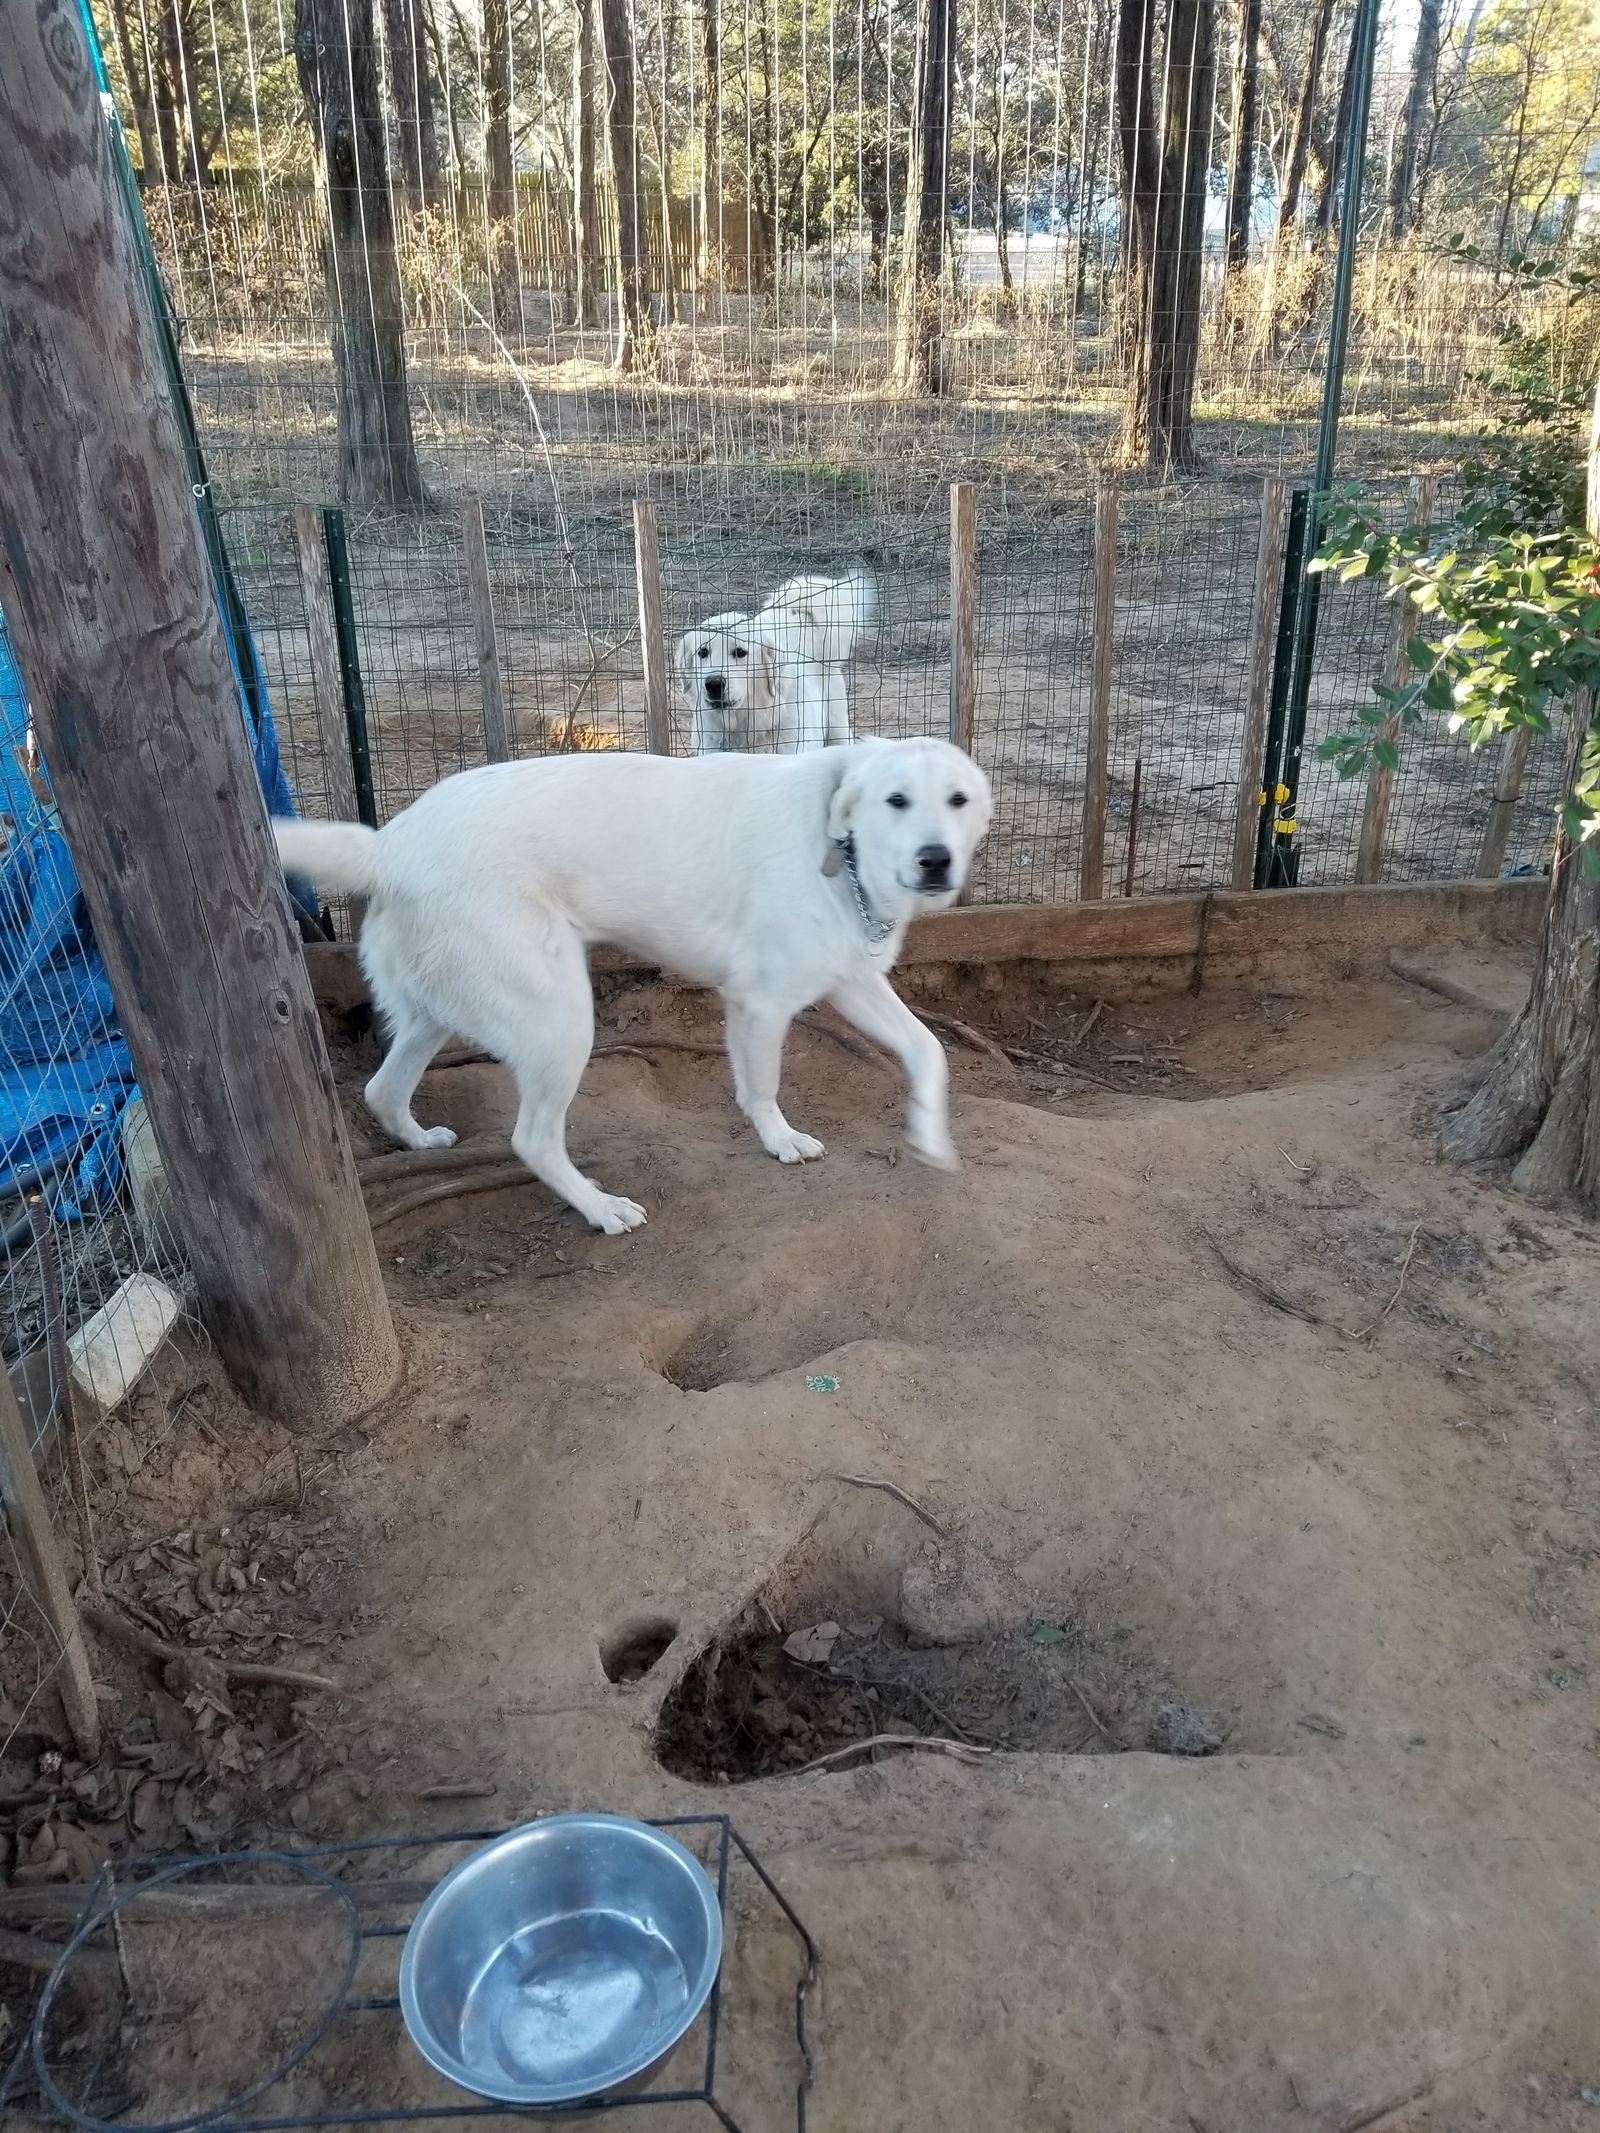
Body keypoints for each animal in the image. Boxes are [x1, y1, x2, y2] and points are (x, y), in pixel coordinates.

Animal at [281, 733, 998, 1237]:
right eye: (896, 801)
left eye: (958, 801)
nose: (935, 860)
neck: (835, 842)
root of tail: (390, 845)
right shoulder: (762, 1005)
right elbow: (762, 1088)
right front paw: (780, 1141)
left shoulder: (851, 983)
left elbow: (929, 1049)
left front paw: (930, 1136)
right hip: (561, 1020)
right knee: (531, 1139)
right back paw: (600, 1208)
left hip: (441, 1012)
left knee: (382, 1089)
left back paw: (419, 1140)